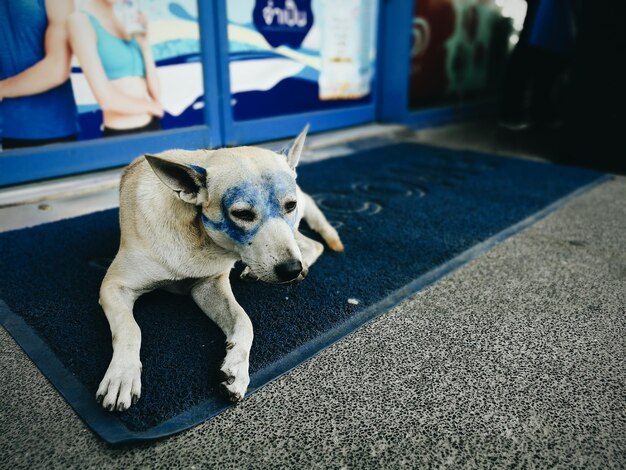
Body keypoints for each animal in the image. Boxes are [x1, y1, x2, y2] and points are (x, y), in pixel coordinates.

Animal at [95, 126, 344, 410]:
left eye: (289, 205)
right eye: (243, 214)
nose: (291, 270)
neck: (197, 236)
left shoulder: (209, 284)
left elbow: (244, 320)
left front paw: (237, 368)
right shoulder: (114, 287)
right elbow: (129, 329)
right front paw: (123, 375)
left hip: (292, 233)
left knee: (313, 244)